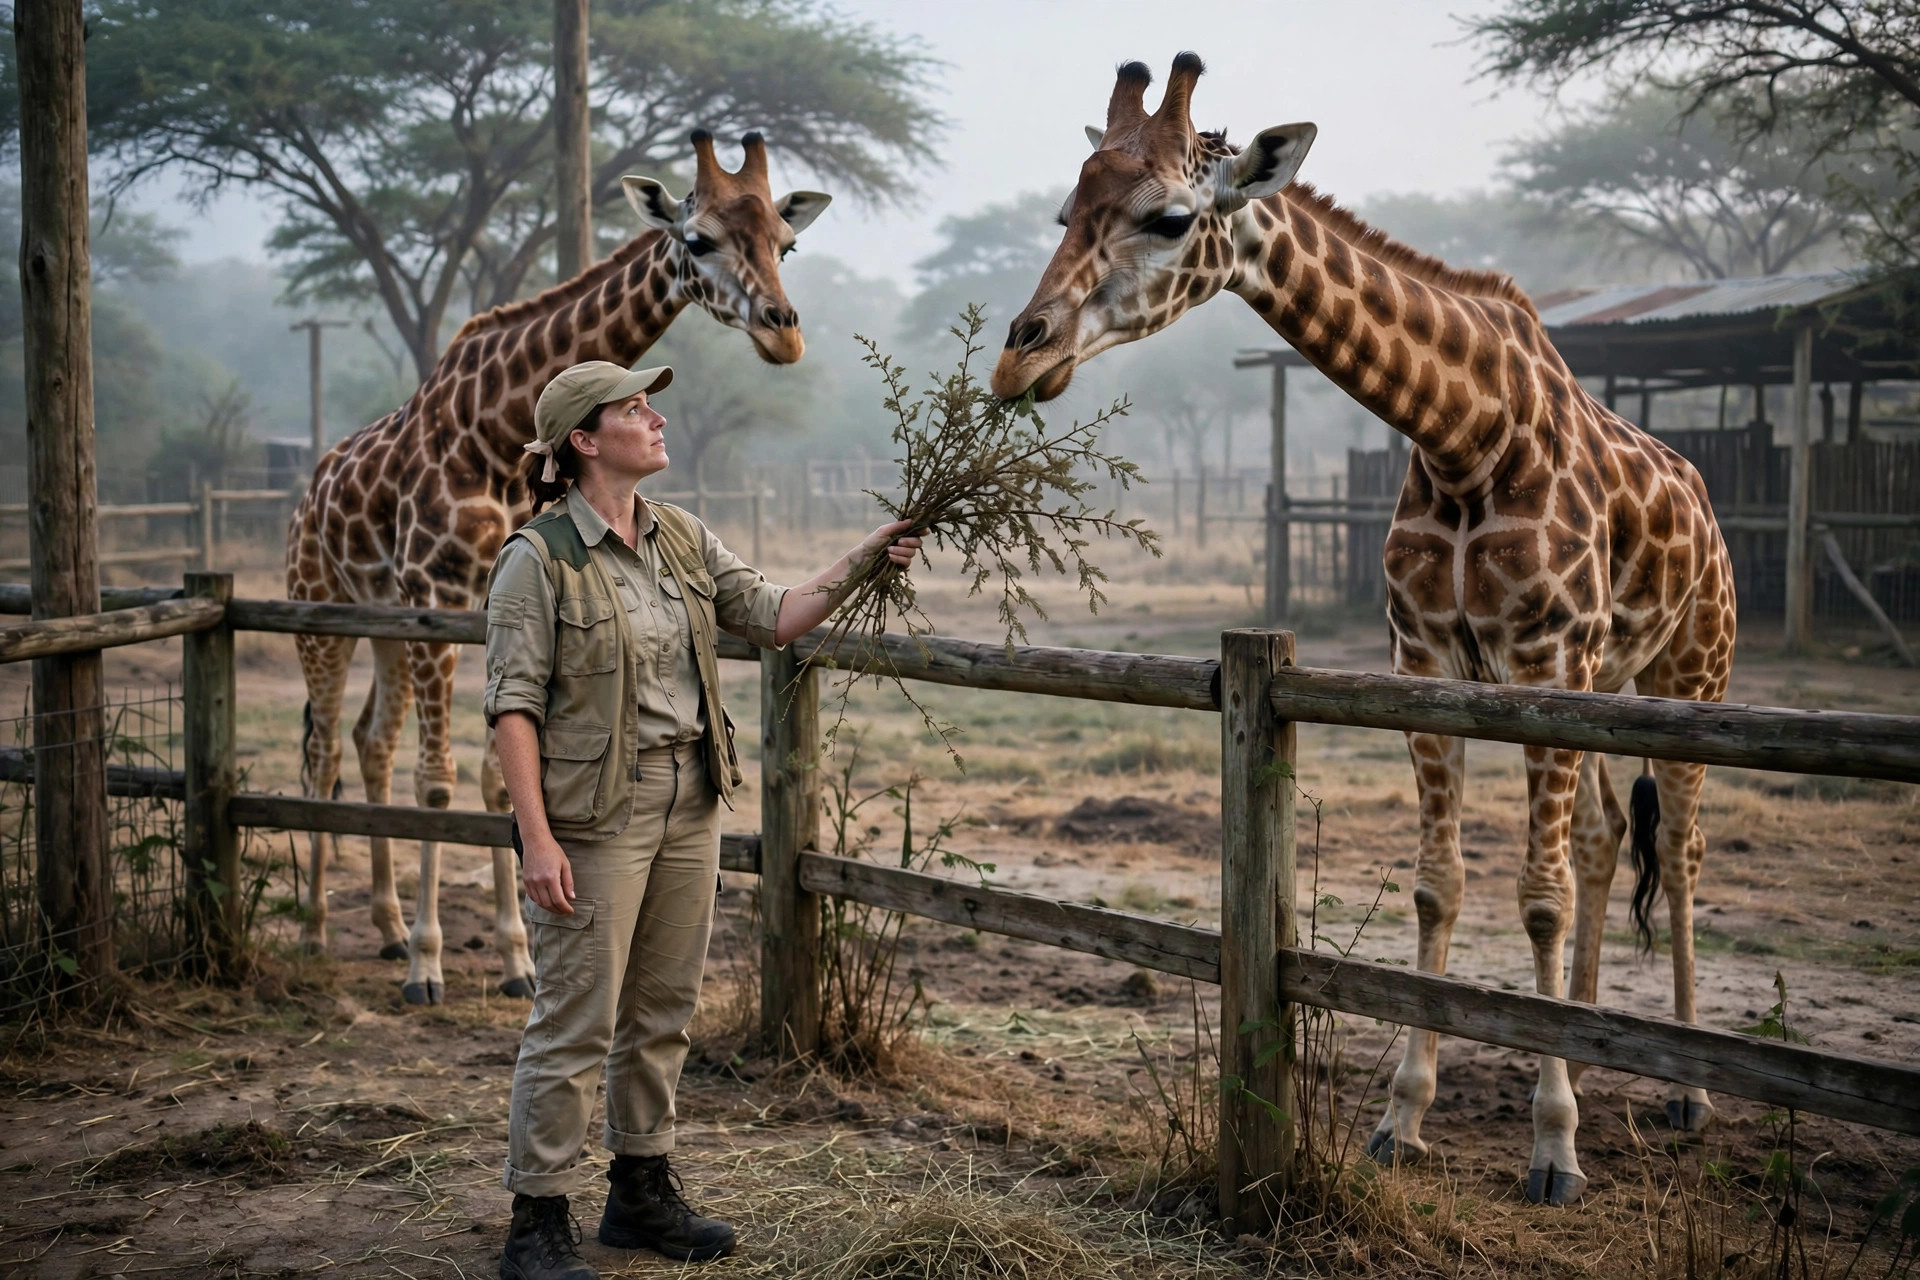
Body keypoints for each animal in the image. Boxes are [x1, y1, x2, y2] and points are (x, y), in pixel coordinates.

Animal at [287, 131, 830, 1005]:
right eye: (698, 240)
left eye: (786, 244)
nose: (785, 334)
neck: (496, 432)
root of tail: (310, 491)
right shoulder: (441, 594)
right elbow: (438, 781)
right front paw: (431, 968)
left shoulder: (480, 609)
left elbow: (498, 778)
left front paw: (515, 960)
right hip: (322, 611)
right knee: (326, 750)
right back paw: (316, 932)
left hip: (385, 623)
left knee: (370, 741)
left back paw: (387, 925)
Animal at [991, 55, 1736, 1206]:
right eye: (1066, 212)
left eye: (1169, 218)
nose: (1020, 361)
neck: (1466, 435)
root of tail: (1707, 502)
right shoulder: (1426, 661)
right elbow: (1441, 888)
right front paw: (1403, 1119)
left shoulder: (1543, 656)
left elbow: (1538, 898)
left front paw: (1554, 1148)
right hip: (1603, 692)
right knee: (1610, 836)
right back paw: (1591, 1038)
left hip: (1686, 679)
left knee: (1683, 848)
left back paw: (1690, 1091)